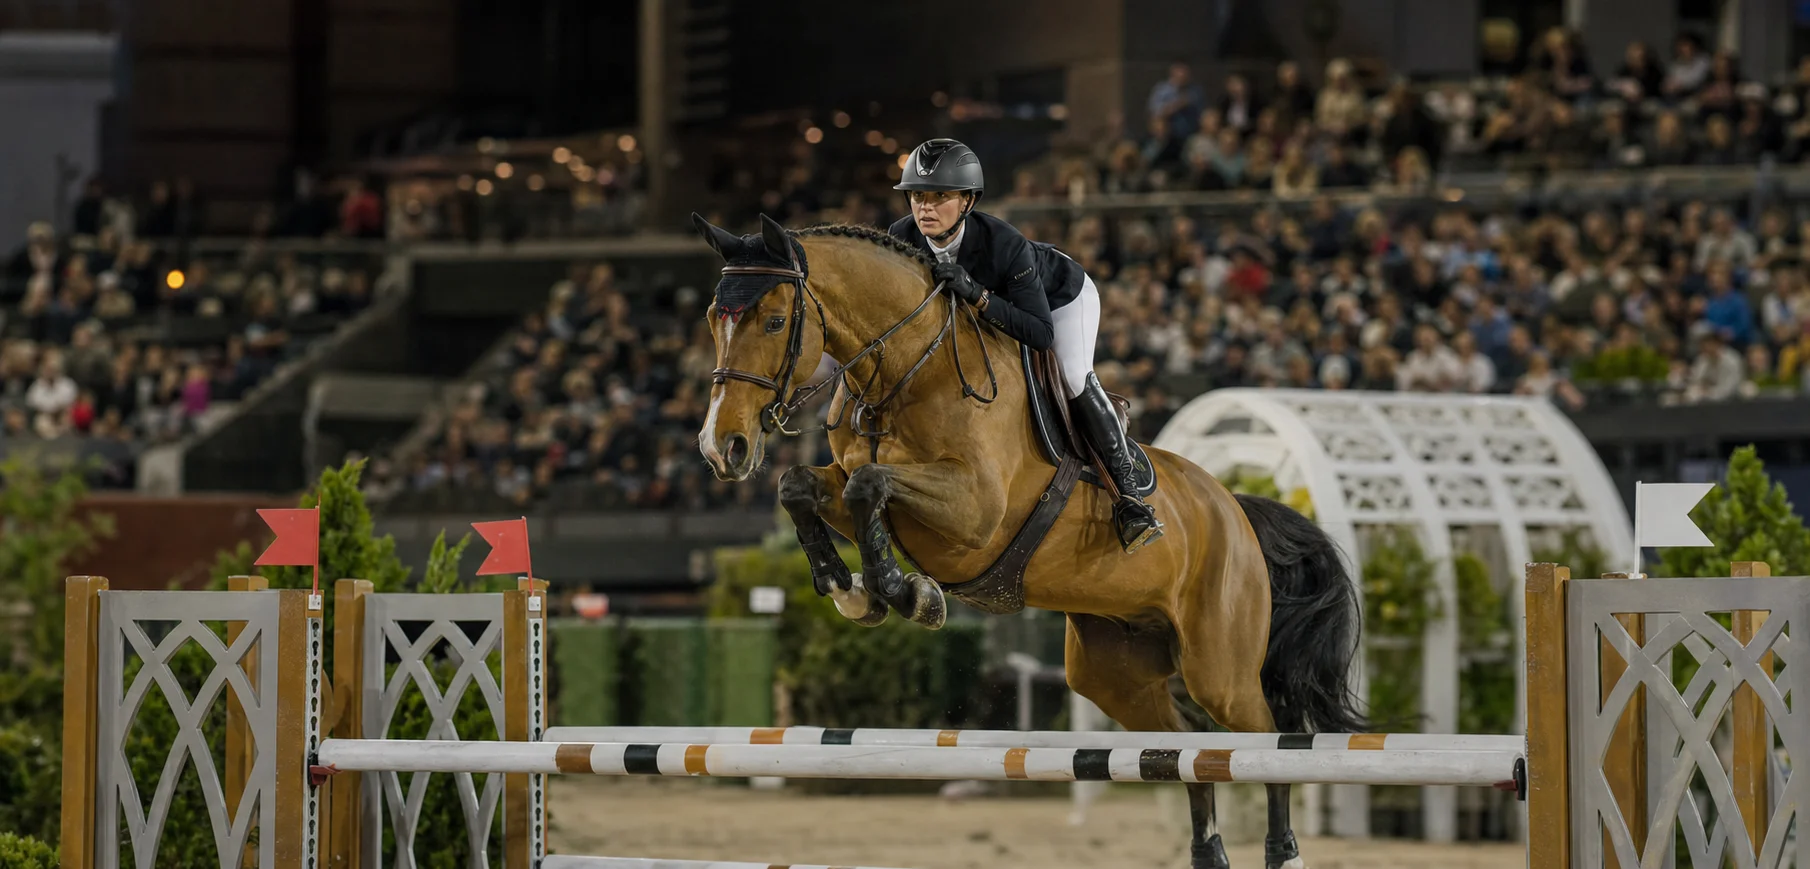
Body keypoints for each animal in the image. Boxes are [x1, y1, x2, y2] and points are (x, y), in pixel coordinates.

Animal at [692, 212, 1363, 869]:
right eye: (712, 320)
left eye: (775, 321)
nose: (722, 447)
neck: (911, 369)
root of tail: (1235, 507)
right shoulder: (864, 482)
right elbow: (803, 485)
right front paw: (848, 588)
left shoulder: (975, 511)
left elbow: (869, 485)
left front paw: (906, 594)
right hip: (1113, 673)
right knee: (1183, 752)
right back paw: (1208, 852)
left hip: (1218, 668)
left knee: (1263, 739)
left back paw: (1281, 851)